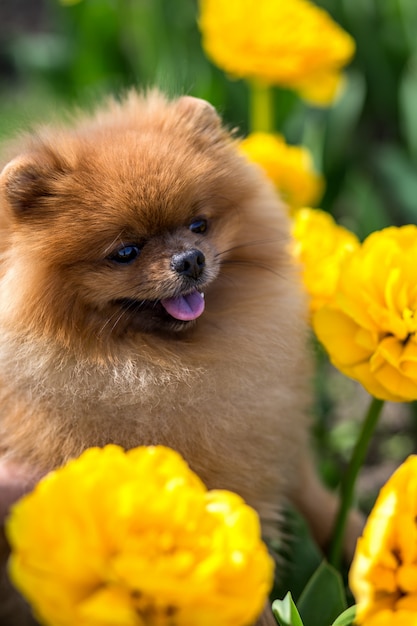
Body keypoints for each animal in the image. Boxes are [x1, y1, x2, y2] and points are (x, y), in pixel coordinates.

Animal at [0, 90, 358, 620]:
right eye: (125, 252)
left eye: (199, 224)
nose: (190, 259)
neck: (162, 366)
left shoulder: (278, 443)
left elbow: (319, 503)